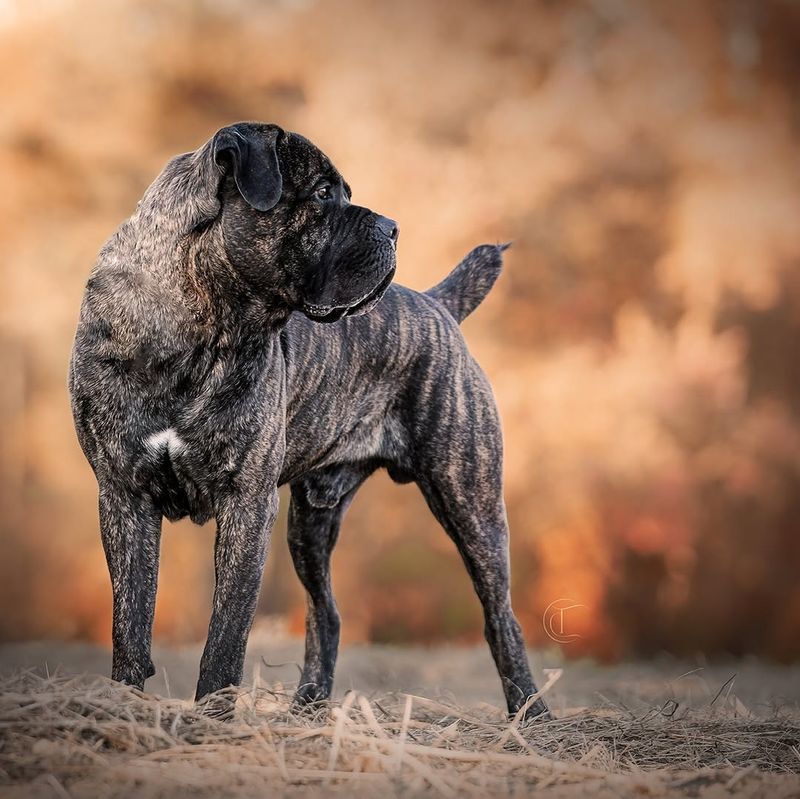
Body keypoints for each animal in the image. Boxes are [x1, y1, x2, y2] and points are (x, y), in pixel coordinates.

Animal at [70, 122, 552, 720]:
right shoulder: (124, 496)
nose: (393, 228)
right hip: (311, 524)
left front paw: (213, 717)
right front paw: (125, 709)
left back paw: (531, 716)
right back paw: (308, 708)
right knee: (328, 614)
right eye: (323, 194)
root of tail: (437, 304)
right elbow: (130, 624)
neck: (197, 323)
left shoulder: (247, 504)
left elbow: (226, 632)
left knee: (501, 618)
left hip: (471, 501)